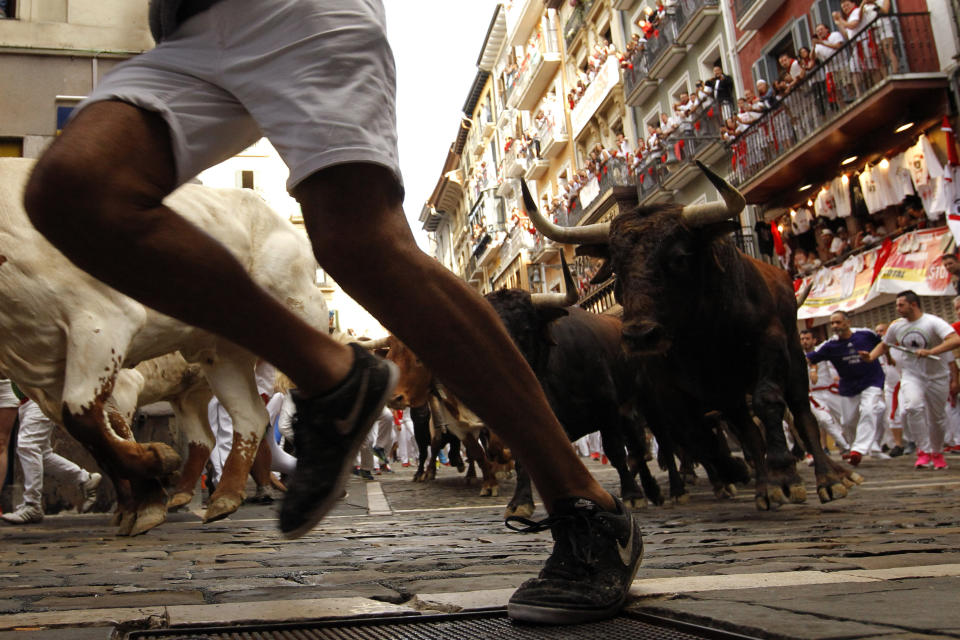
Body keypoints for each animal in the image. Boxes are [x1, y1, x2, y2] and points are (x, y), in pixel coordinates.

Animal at [0, 159, 330, 536]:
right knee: (243, 419)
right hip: (218, 359)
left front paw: (153, 478)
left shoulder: (102, 324)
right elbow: (102, 437)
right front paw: (145, 498)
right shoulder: (51, 375)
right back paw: (222, 496)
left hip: (299, 314)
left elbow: (90, 422)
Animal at [520, 164, 868, 510]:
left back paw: (830, 477)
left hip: (793, 355)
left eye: (679, 258)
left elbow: (767, 400)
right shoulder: (676, 386)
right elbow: (700, 435)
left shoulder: (769, 342)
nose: (640, 336)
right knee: (739, 430)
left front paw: (782, 473)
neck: (702, 330)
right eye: (616, 266)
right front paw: (746, 475)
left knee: (801, 412)